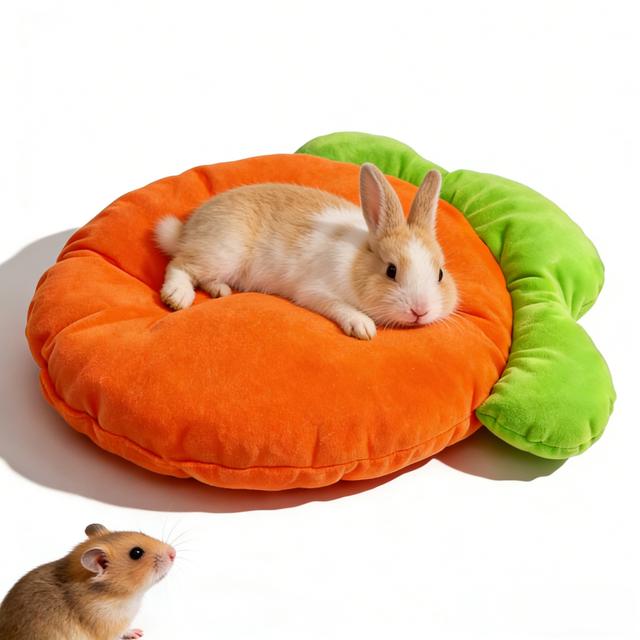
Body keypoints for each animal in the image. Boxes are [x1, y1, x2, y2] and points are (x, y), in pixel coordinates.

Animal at [154, 163, 458, 340]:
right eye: (391, 270)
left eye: (440, 274)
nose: (420, 311)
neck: (358, 261)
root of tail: (187, 229)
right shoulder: (315, 292)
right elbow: (339, 306)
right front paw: (363, 327)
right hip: (222, 251)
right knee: (179, 265)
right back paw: (178, 297)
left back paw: (220, 290)